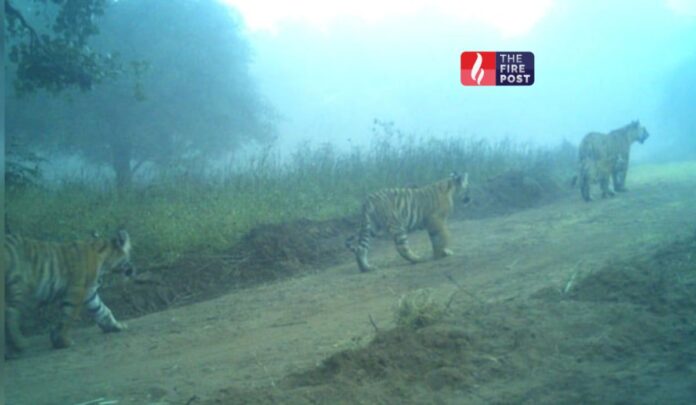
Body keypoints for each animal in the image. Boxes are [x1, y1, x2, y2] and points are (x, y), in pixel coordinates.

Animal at [4, 229, 135, 357]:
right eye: (129, 255)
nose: (133, 269)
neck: (104, 262)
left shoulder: (89, 292)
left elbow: (101, 310)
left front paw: (116, 326)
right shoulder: (76, 290)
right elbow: (69, 316)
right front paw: (62, 341)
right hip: (23, 288)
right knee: (11, 312)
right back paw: (20, 344)